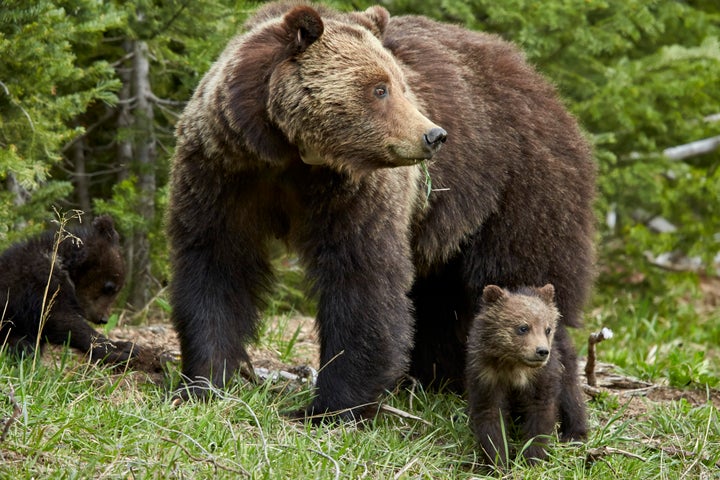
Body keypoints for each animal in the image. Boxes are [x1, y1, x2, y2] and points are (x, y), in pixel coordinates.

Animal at [167, 0, 592, 436]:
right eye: (379, 88)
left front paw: (330, 408)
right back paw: (437, 380)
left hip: (518, 188)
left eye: (401, 85)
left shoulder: (355, 194)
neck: (289, 155)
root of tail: (542, 82)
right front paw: (203, 382)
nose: (434, 135)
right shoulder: (223, 173)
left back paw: (564, 419)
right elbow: (215, 265)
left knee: (522, 280)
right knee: (442, 299)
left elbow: (364, 282)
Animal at [466, 284, 568, 464]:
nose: (542, 351)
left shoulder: (542, 376)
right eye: (523, 327)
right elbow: (490, 415)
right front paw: (498, 460)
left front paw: (531, 458)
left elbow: (540, 413)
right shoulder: (486, 375)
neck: (514, 364)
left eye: (547, 329)